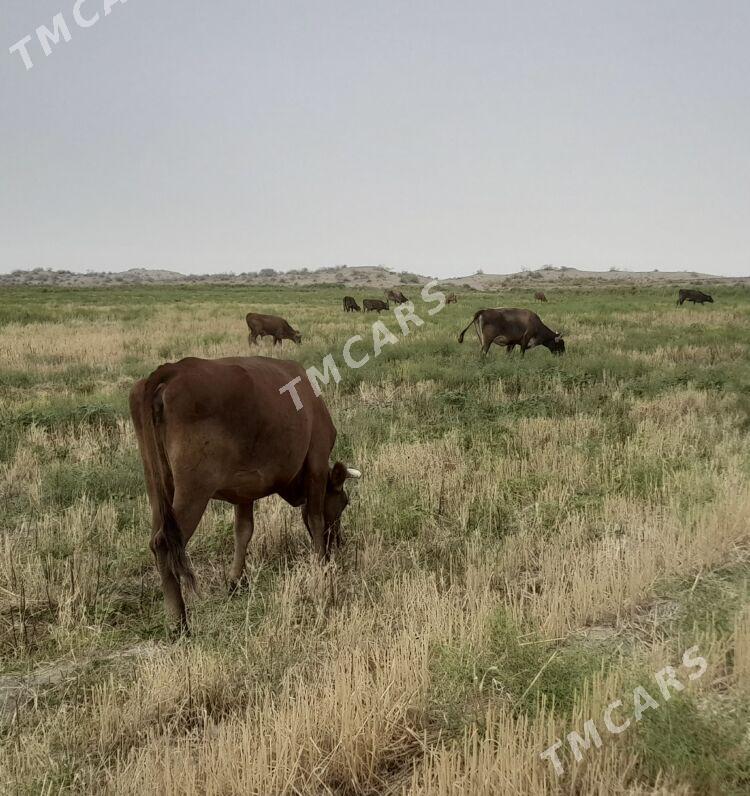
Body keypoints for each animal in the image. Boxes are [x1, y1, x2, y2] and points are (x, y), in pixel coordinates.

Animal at [130, 358, 364, 632]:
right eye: (344, 503)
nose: (338, 543)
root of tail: (173, 369)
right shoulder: (316, 461)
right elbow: (315, 518)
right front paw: (321, 564)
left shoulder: (243, 490)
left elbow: (243, 531)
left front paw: (235, 582)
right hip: (193, 489)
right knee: (165, 542)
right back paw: (179, 622)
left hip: (158, 488)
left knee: (155, 541)